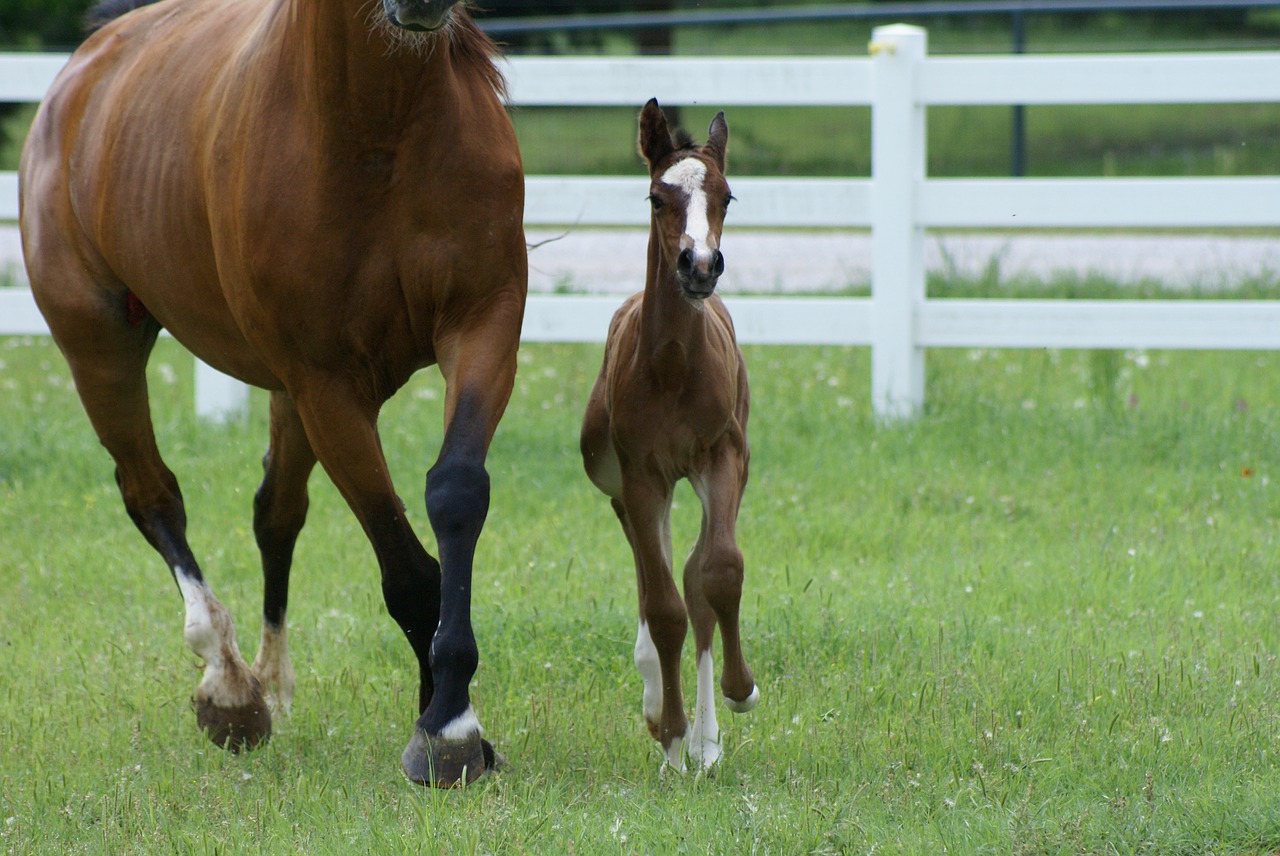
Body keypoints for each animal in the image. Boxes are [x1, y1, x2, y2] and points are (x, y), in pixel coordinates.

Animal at [581, 100, 757, 767]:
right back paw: (672, 732)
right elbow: (663, 609)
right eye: (658, 197)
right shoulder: (641, 477)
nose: (700, 265)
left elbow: (718, 574)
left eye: (727, 197)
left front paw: (737, 692)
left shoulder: (722, 456)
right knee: (656, 579)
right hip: (622, 488)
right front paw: (671, 728)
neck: (675, 367)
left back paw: (706, 744)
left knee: (695, 577)